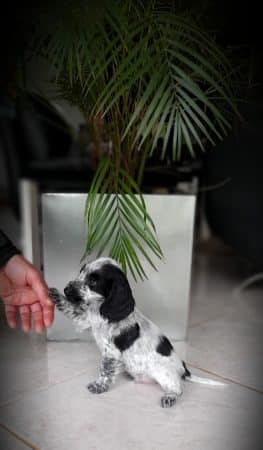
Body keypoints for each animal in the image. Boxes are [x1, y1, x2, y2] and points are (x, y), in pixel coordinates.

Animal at [49, 256, 225, 408]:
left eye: (93, 280)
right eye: (81, 271)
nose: (66, 289)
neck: (100, 308)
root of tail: (183, 369)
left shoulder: (110, 352)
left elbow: (104, 370)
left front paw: (99, 385)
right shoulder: (86, 318)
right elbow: (72, 309)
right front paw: (54, 294)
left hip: (164, 373)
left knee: (178, 389)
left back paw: (169, 397)